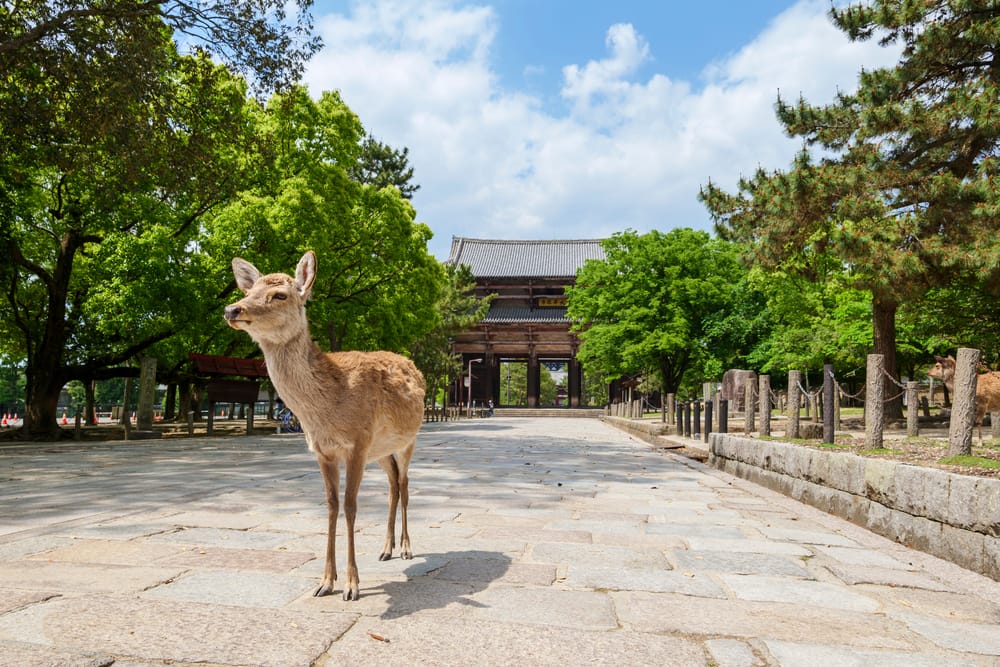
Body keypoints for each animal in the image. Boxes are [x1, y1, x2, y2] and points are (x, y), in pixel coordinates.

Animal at [223, 250, 426, 600]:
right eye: (249, 291)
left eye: (280, 295)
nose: (232, 309)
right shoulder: (322, 451)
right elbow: (331, 506)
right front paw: (325, 582)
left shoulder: (358, 443)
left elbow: (351, 505)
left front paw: (352, 586)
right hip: (381, 451)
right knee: (392, 486)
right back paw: (385, 549)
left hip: (407, 441)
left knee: (405, 485)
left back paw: (406, 548)